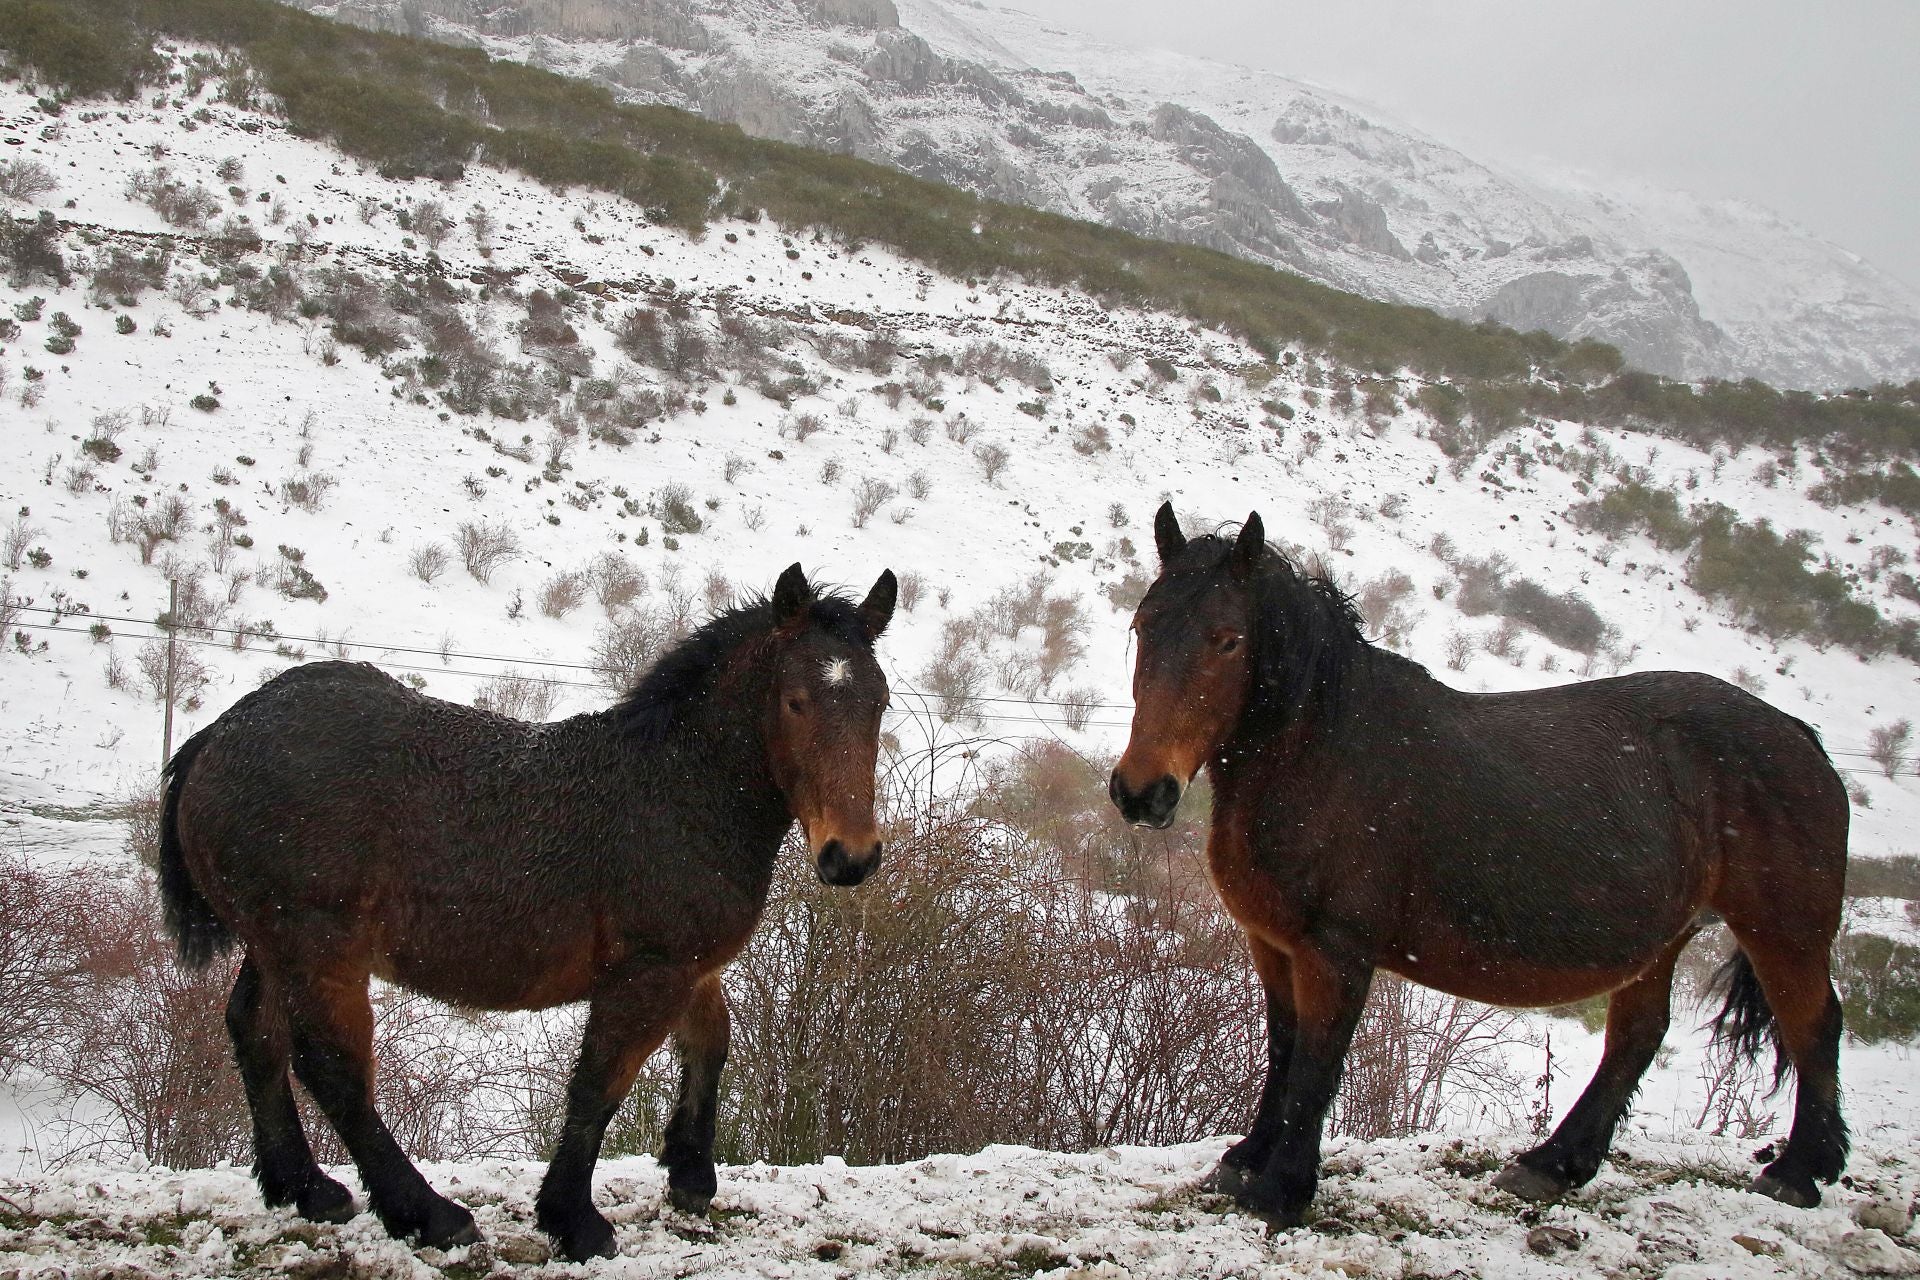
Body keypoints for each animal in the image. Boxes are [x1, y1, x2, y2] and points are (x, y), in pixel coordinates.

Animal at [155, 564, 890, 1258]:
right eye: (795, 702)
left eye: (879, 702)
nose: (850, 858)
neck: (679, 792)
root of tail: (218, 735)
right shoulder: (648, 972)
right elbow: (599, 1086)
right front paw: (574, 1221)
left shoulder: (689, 967)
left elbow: (710, 1044)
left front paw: (689, 1175)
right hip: (315, 946)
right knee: (333, 1069)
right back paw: (427, 1213)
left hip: (272, 944)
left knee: (255, 1034)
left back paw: (304, 1187)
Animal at [1113, 506, 1843, 1228]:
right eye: (1144, 625)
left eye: (1228, 641)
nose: (1142, 792)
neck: (1323, 751)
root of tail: (1797, 734)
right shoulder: (1273, 943)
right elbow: (1285, 1046)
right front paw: (1245, 1161)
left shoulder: (1335, 951)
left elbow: (1317, 1059)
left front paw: (1281, 1190)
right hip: (1664, 938)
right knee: (1638, 1036)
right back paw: (1552, 1166)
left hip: (1785, 931)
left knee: (1814, 1024)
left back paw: (1798, 1174)